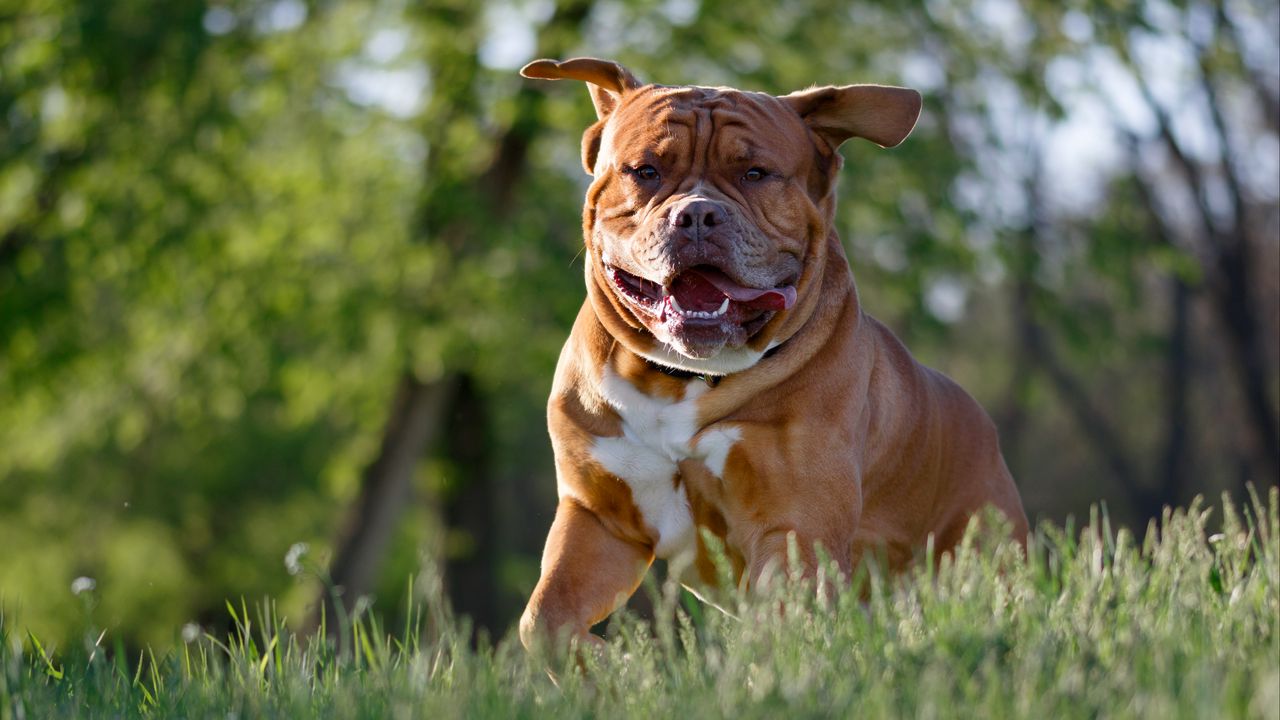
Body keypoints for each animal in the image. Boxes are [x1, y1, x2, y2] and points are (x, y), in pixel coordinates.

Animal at [514, 58, 1024, 648]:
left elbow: (778, 626)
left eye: (755, 173)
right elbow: (544, 617)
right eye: (645, 170)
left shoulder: (795, 527)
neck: (684, 378)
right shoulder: (599, 516)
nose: (697, 215)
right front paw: (601, 660)